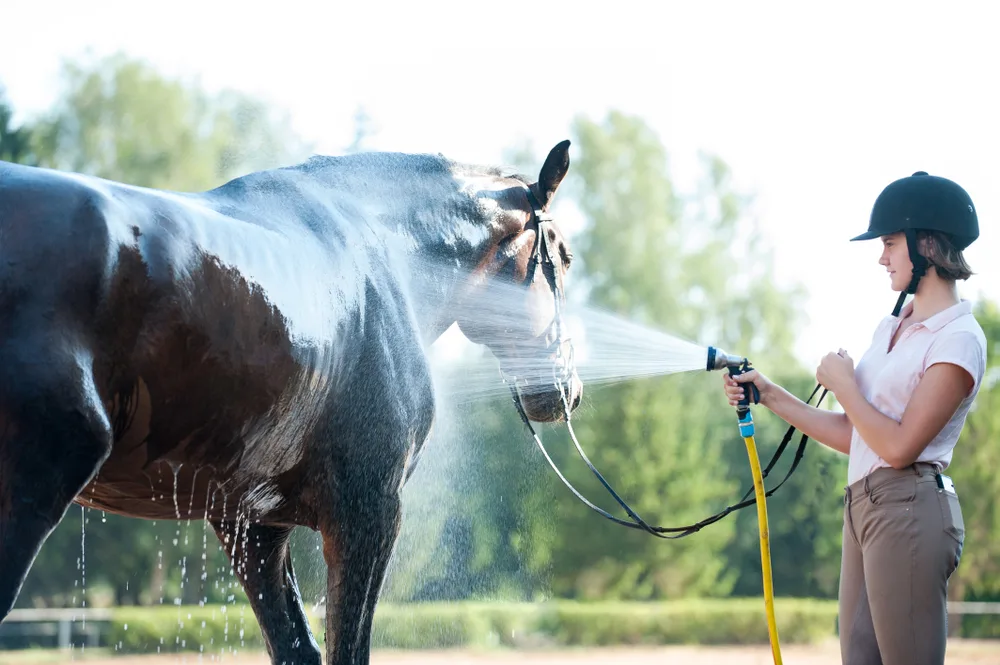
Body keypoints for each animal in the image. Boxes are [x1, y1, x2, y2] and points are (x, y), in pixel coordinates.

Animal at [0, 140, 582, 664]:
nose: (570, 392)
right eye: (565, 256)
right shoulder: (368, 512)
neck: (387, 249)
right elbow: (346, 649)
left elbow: (297, 648)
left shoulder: (254, 525)